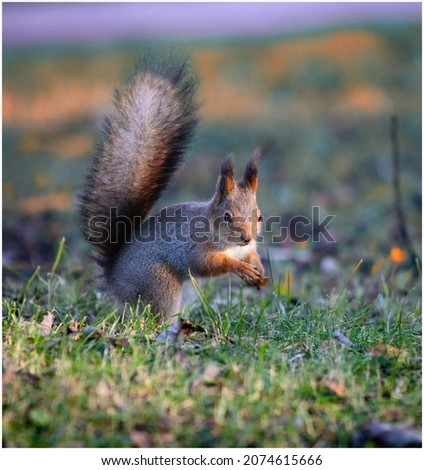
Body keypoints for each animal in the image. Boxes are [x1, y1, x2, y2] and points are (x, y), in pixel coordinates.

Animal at [78, 54, 266, 320]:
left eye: (259, 217)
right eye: (227, 216)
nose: (247, 237)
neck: (230, 244)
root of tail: (115, 282)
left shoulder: (246, 248)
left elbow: (252, 255)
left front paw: (258, 269)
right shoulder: (195, 246)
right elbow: (206, 264)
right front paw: (238, 267)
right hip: (160, 285)